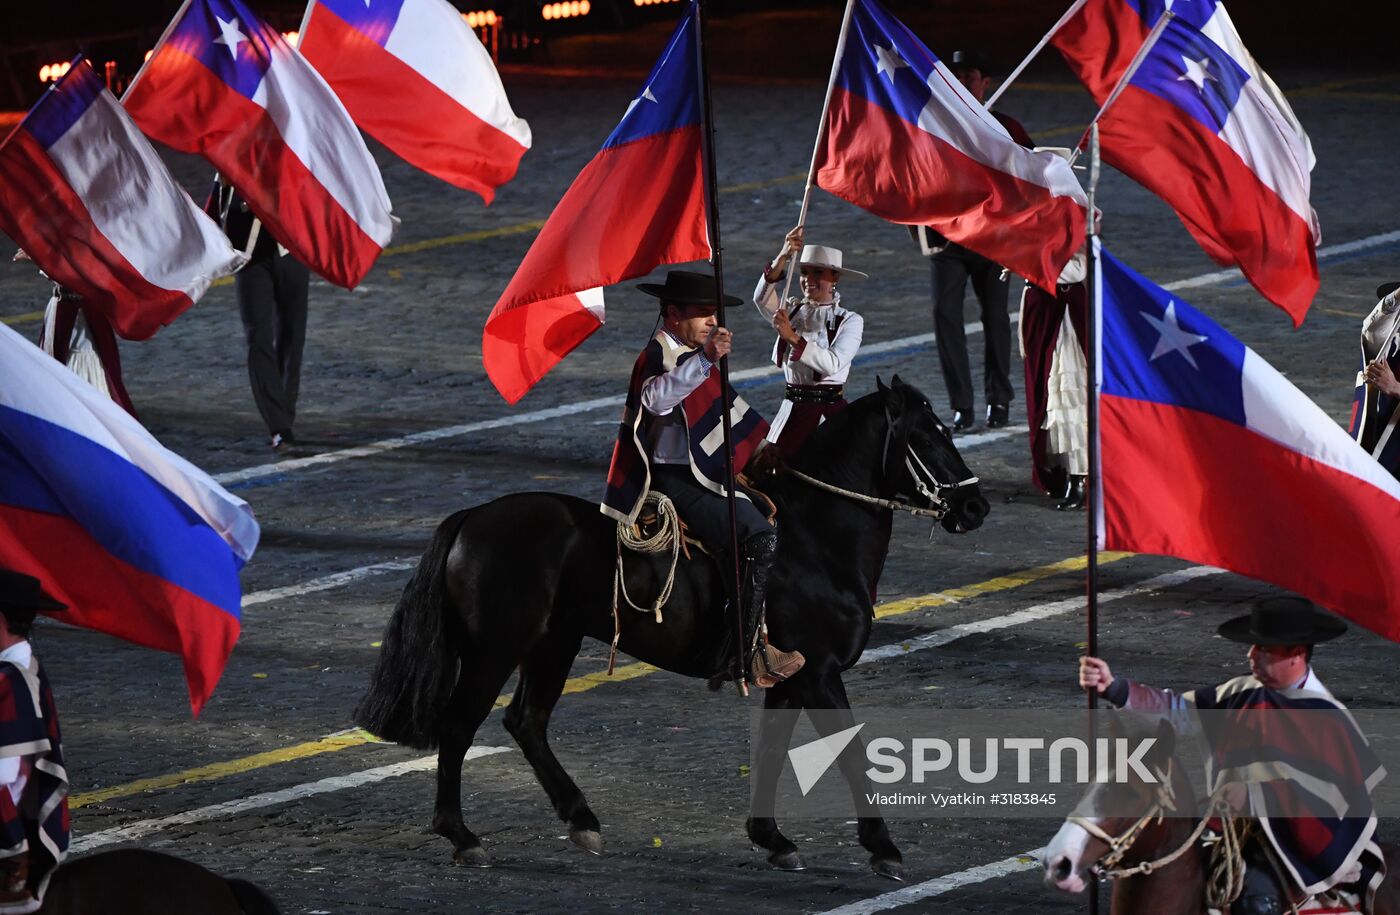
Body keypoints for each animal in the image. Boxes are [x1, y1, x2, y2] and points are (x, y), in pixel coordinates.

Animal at [355, 374, 991, 884]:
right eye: (929, 436)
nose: (977, 508)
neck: (817, 540)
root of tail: (472, 519)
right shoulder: (820, 673)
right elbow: (852, 753)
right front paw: (883, 848)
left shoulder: (789, 676)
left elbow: (771, 751)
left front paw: (773, 839)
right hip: (495, 652)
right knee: (461, 726)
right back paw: (463, 836)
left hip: (553, 645)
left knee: (525, 722)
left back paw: (582, 819)